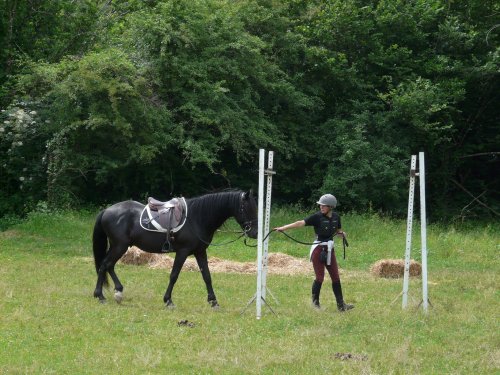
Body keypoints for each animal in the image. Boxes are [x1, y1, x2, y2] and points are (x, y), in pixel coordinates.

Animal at [92, 191, 258, 308]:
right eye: (246, 208)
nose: (255, 233)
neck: (197, 218)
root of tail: (107, 211)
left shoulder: (200, 252)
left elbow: (207, 276)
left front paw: (213, 301)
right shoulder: (182, 252)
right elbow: (174, 275)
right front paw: (168, 300)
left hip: (118, 246)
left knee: (109, 265)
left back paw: (118, 291)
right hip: (119, 246)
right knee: (104, 265)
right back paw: (100, 295)